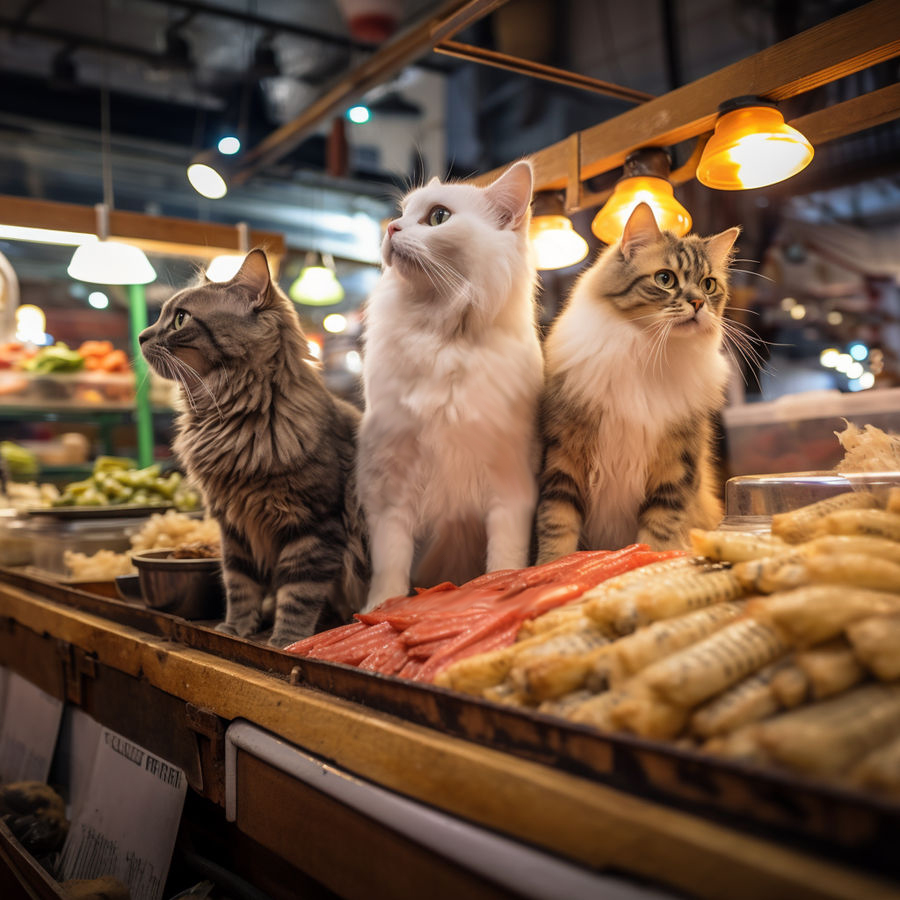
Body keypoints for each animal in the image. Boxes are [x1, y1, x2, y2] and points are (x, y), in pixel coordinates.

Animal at [141, 250, 366, 644]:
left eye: (180, 318)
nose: (141, 336)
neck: (229, 421)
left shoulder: (315, 524)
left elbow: (299, 593)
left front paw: (287, 640)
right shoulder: (234, 526)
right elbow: (239, 585)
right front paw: (236, 629)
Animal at [358, 160, 540, 612]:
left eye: (438, 217)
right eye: (402, 212)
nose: (391, 228)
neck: (443, 339)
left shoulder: (511, 490)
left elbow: (504, 559)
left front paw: (501, 587)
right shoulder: (390, 488)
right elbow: (390, 566)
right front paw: (379, 610)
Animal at [536, 202, 740, 564]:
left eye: (708, 285)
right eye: (665, 279)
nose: (698, 303)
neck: (647, 351)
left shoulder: (675, 469)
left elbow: (657, 531)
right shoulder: (563, 459)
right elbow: (558, 528)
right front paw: (547, 567)